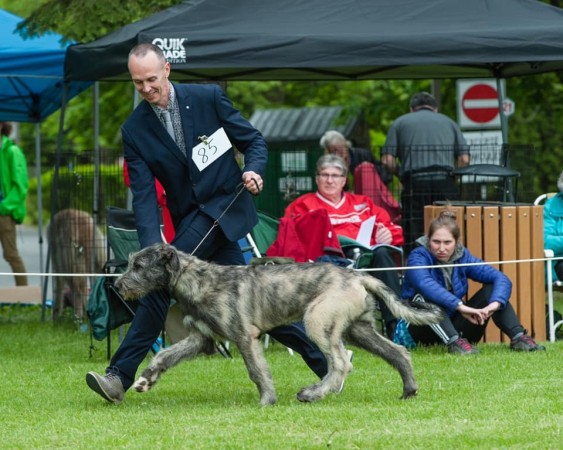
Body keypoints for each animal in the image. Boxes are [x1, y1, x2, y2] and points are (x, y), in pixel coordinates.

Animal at [117, 244, 442, 406]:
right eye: (130, 263)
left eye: (139, 266)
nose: (117, 286)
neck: (199, 280)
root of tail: (358, 275)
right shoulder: (202, 338)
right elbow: (164, 355)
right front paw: (146, 378)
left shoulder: (243, 336)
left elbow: (256, 370)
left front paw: (267, 400)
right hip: (358, 328)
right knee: (397, 351)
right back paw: (409, 389)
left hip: (318, 322)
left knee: (340, 363)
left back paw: (313, 393)